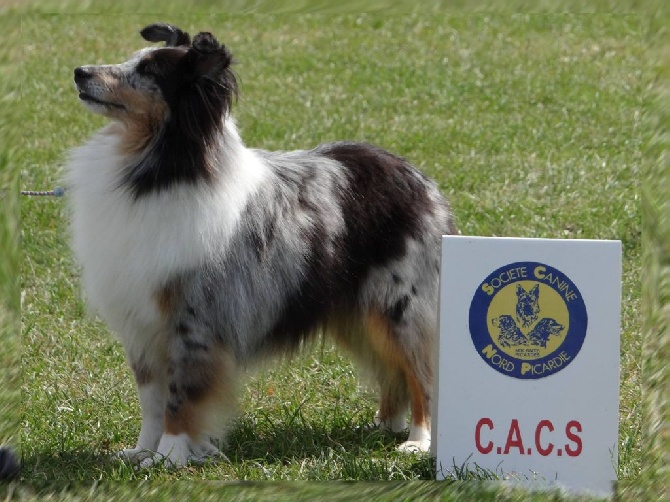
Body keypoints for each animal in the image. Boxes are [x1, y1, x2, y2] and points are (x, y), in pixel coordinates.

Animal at [65, 21, 460, 468]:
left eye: (148, 71)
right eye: (131, 60)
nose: (79, 72)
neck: (164, 171)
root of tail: (420, 179)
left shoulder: (195, 321)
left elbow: (179, 397)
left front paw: (171, 455)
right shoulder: (142, 323)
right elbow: (151, 400)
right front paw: (143, 451)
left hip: (400, 307)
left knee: (421, 372)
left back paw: (419, 439)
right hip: (357, 313)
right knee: (391, 372)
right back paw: (384, 426)